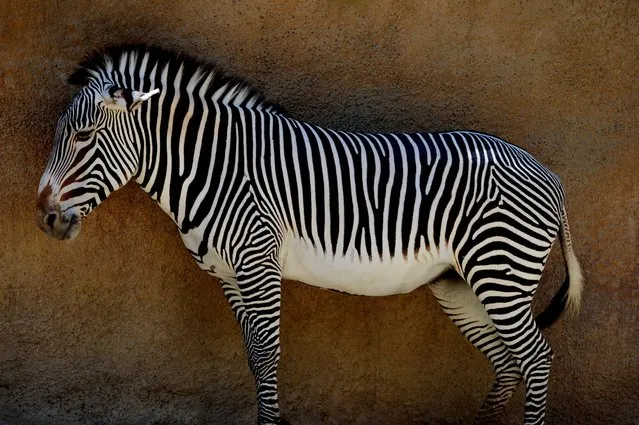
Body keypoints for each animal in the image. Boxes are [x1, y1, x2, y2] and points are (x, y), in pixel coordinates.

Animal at [36, 44, 584, 422]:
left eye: (83, 136)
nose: (44, 216)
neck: (213, 167)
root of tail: (550, 175)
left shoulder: (257, 262)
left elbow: (268, 356)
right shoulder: (229, 276)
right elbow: (254, 359)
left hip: (500, 273)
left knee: (535, 359)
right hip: (460, 283)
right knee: (508, 363)